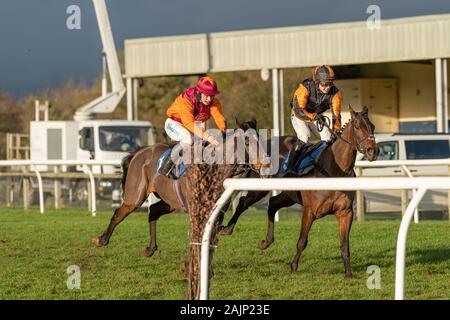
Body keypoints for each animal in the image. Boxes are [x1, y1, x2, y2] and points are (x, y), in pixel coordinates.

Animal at [91, 120, 262, 258]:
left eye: (259, 139)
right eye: (247, 142)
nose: (263, 163)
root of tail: (140, 151)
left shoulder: (216, 211)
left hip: (170, 202)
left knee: (153, 212)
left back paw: (150, 249)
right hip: (135, 196)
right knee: (118, 214)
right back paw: (101, 239)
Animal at [220, 106, 378, 276]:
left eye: (372, 126)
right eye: (357, 126)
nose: (373, 151)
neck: (335, 170)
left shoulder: (345, 212)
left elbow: (344, 245)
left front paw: (348, 273)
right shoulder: (309, 211)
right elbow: (302, 241)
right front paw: (294, 266)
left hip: (289, 196)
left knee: (273, 204)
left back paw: (266, 241)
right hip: (260, 186)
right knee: (243, 203)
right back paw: (226, 229)